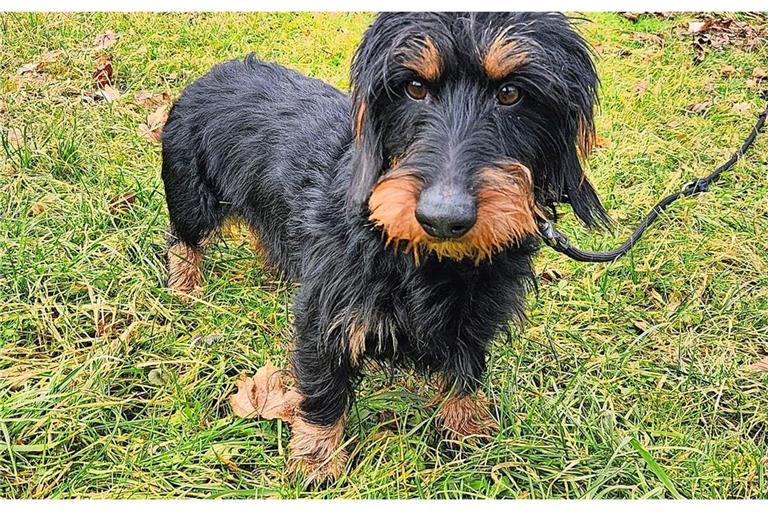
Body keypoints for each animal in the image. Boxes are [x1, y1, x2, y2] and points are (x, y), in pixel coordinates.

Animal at [159, 12, 608, 484]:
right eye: (414, 87)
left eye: (510, 93)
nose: (443, 218)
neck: (424, 257)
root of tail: (217, 72)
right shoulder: (326, 316)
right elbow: (323, 390)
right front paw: (317, 459)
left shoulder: (475, 317)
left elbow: (466, 371)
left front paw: (465, 428)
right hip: (192, 199)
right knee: (183, 242)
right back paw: (184, 288)